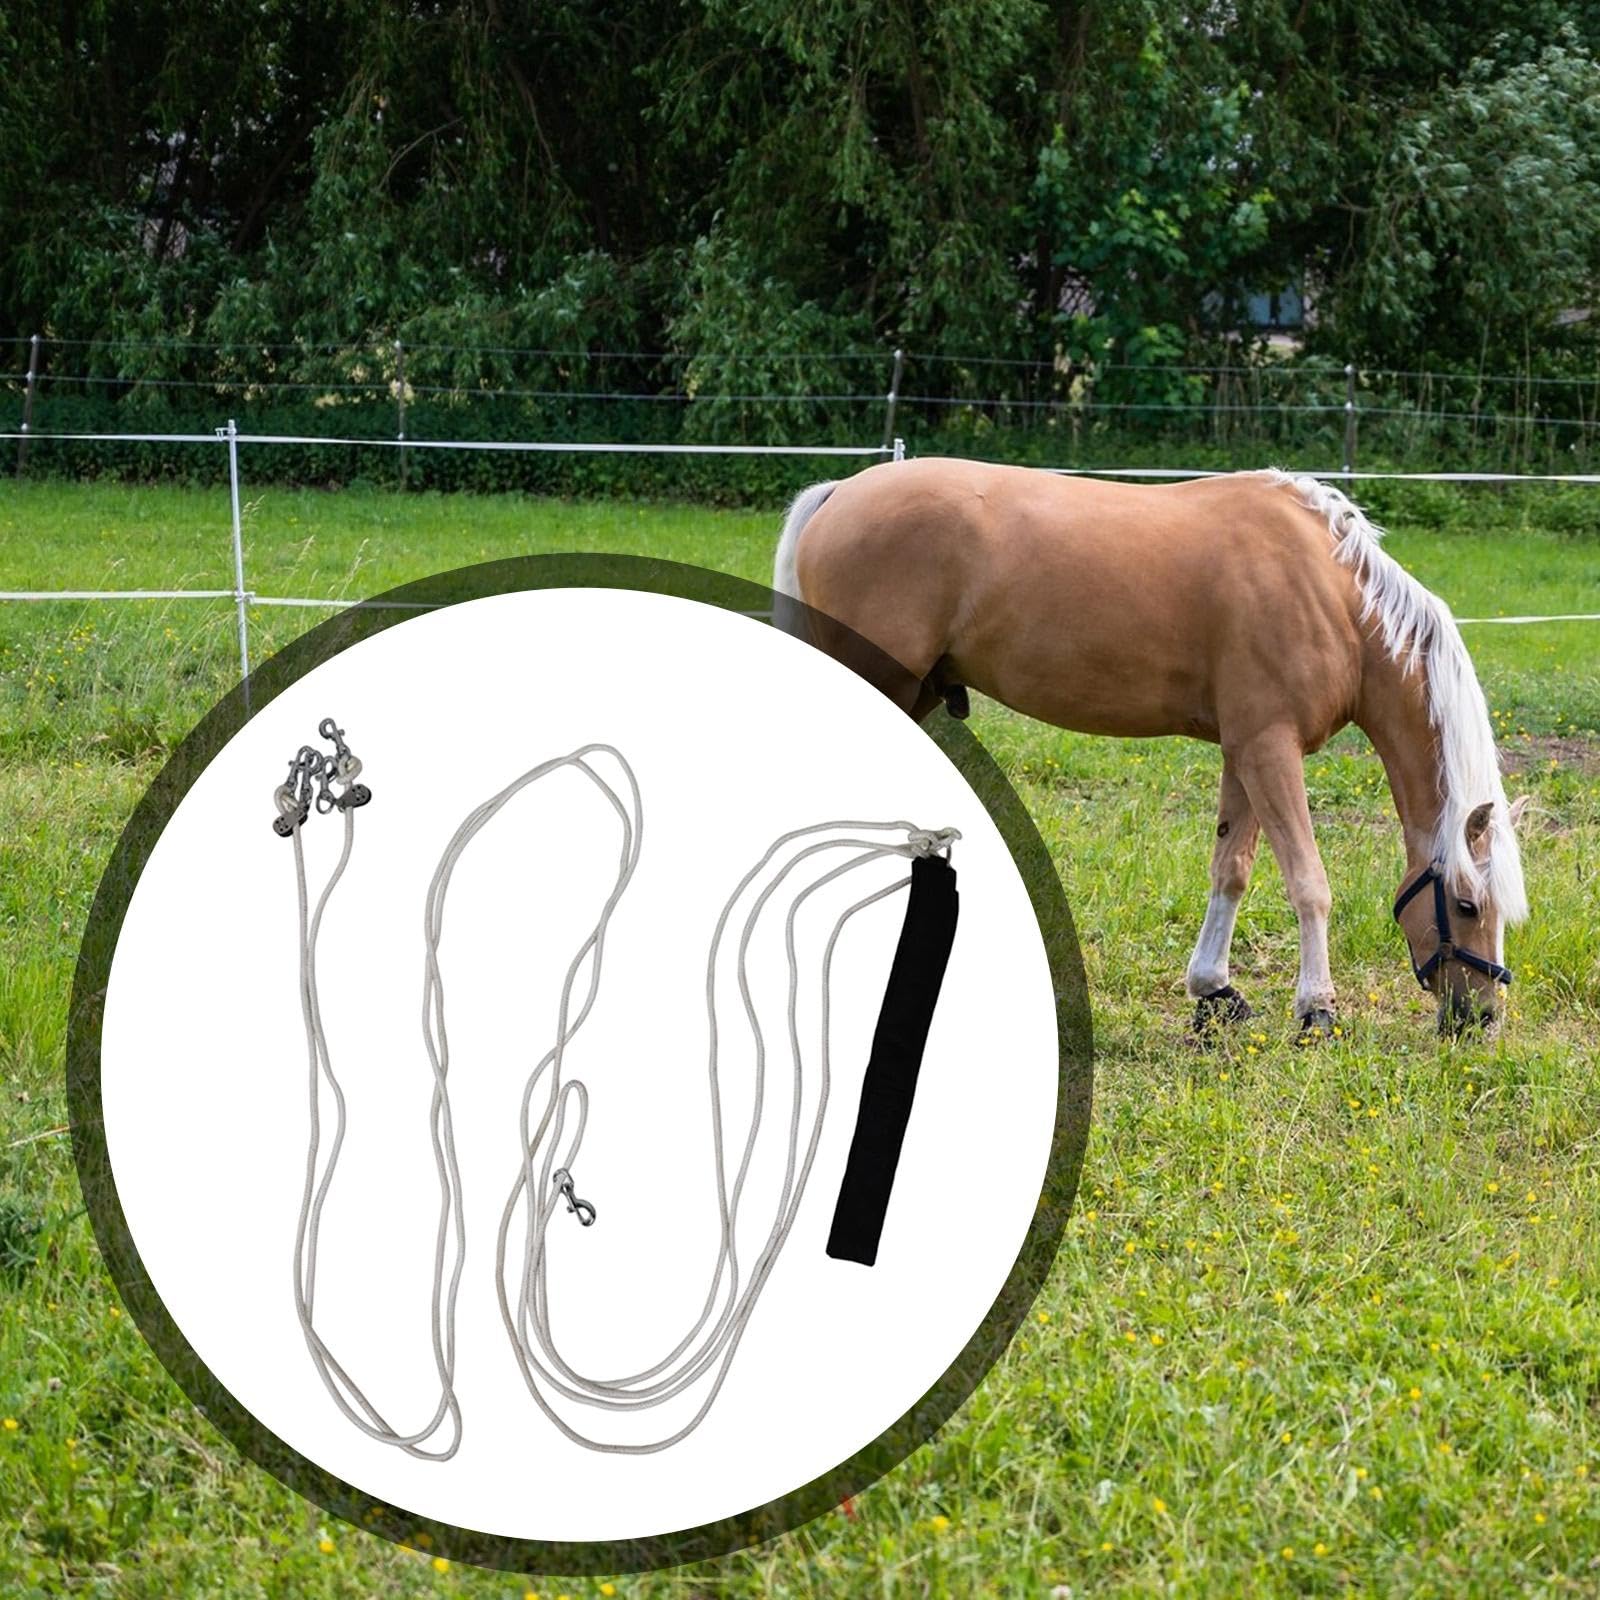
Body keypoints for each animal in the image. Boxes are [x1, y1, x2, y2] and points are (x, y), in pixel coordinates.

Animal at [772, 459, 1529, 1036]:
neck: (1332, 593)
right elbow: (1308, 880)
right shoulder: (1270, 747)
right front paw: (1316, 1008)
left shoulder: (1244, 750)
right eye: (1467, 906)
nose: (1481, 1018)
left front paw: (1215, 991)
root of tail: (839, 492)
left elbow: (1232, 869)